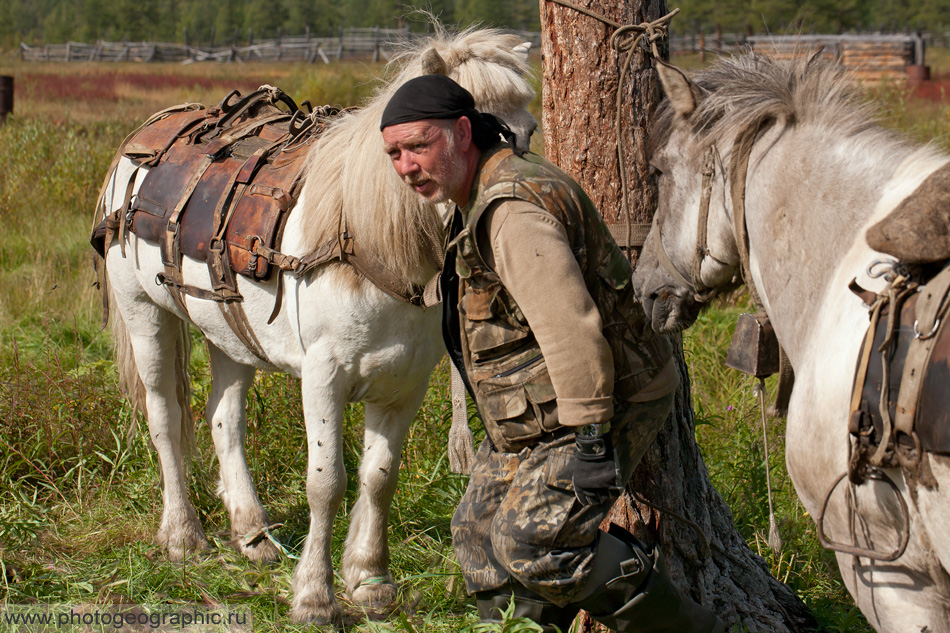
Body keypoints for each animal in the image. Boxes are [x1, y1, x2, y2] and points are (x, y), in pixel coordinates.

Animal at [93, 29, 540, 624]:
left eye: (526, 134)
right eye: (470, 130)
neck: (368, 242)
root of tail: (141, 142)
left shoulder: (404, 384)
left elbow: (379, 478)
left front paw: (370, 581)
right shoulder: (323, 378)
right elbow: (327, 483)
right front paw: (314, 595)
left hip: (229, 333)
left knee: (224, 421)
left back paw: (252, 533)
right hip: (146, 315)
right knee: (165, 416)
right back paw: (183, 535)